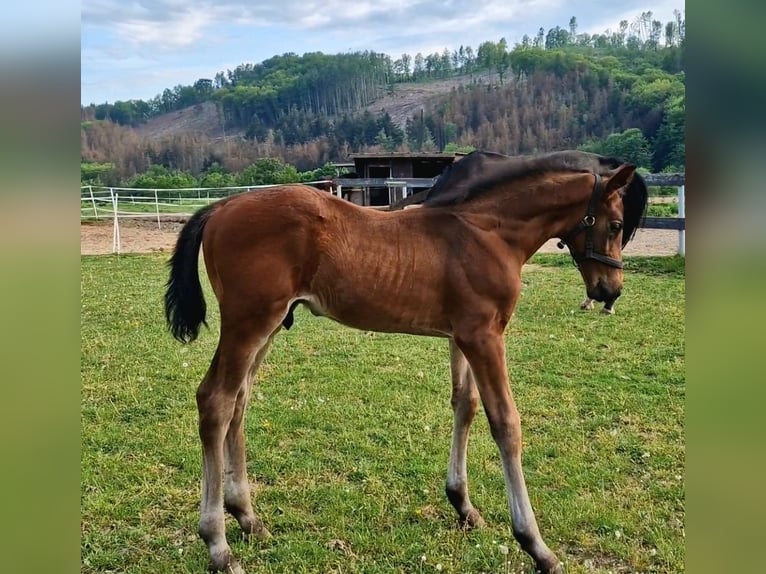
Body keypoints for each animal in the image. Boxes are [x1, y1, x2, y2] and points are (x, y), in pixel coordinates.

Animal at [166, 151, 648, 572]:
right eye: (616, 224)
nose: (610, 291)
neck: (488, 233)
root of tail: (222, 205)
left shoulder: (463, 335)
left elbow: (465, 406)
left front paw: (464, 506)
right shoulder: (485, 336)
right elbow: (506, 424)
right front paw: (536, 546)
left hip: (267, 326)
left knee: (239, 401)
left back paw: (248, 519)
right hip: (249, 322)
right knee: (216, 400)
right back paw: (218, 545)